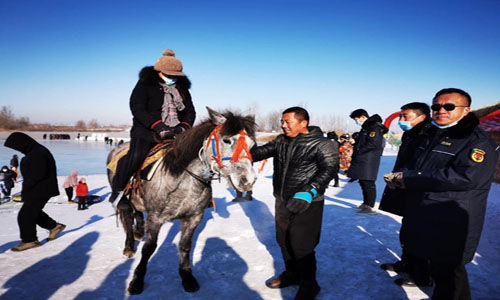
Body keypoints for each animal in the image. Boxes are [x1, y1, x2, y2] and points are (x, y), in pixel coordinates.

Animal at [104, 106, 254, 294]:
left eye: (252, 144)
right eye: (227, 140)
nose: (248, 180)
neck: (182, 178)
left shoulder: (193, 217)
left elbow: (185, 245)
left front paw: (187, 277)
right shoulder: (156, 218)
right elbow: (149, 248)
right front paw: (137, 281)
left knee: (137, 212)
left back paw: (138, 233)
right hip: (123, 199)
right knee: (127, 216)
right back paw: (129, 246)